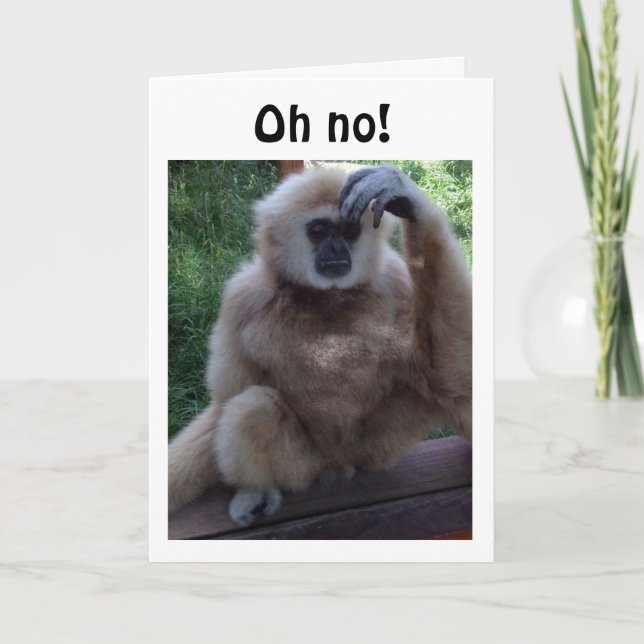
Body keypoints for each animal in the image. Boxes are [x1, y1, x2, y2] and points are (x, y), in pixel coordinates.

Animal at [168, 164, 472, 527]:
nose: (338, 250)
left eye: (348, 231)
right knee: (252, 407)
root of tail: (337, 466)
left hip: (377, 449)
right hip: (304, 468)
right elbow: (225, 401)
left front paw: (409, 203)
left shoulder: (395, 282)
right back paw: (257, 490)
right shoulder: (241, 299)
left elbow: (448, 375)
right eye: (318, 231)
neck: (326, 299)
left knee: (450, 387)